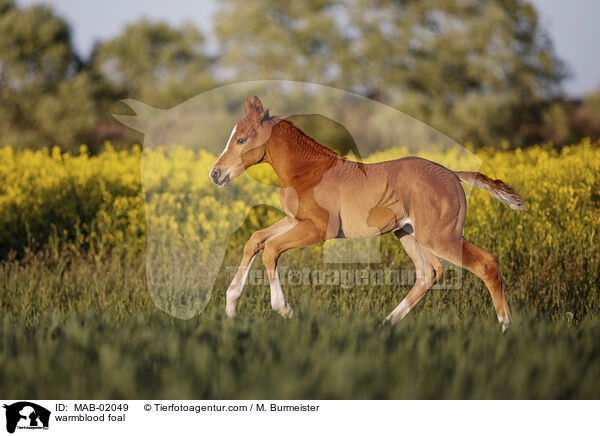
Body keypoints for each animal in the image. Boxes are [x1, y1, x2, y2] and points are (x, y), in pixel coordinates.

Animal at [211, 96, 524, 330]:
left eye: (241, 140)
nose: (215, 174)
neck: (309, 172)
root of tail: (453, 174)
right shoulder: (294, 220)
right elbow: (256, 240)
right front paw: (230, 305)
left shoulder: (319, 229)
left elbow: (271, 250)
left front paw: (284, 309)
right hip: (409, 233)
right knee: (429, 273)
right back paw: (385, 323)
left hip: (440, 236)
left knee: (486, 264)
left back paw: (506, 327)